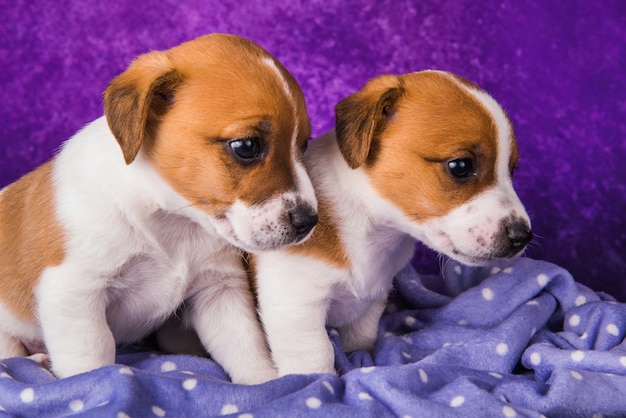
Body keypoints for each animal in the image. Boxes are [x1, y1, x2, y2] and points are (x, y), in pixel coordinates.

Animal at [0, 34, 314, 384]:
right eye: (246, 146)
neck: (170, 220)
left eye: (303, 145)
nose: (309, 221)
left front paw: (264, 382)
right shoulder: (74, 293)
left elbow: (245, 343)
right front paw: (96, 382)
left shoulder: (218, 289)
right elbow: (91, 357)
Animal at [254, 71, 532, 376]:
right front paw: (316, 381)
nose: (523, 236)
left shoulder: (373, 299)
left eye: (512, 170)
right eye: (460, 166)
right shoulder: (295, 303)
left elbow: (361, 339)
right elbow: (316, 357)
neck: (370, 231)